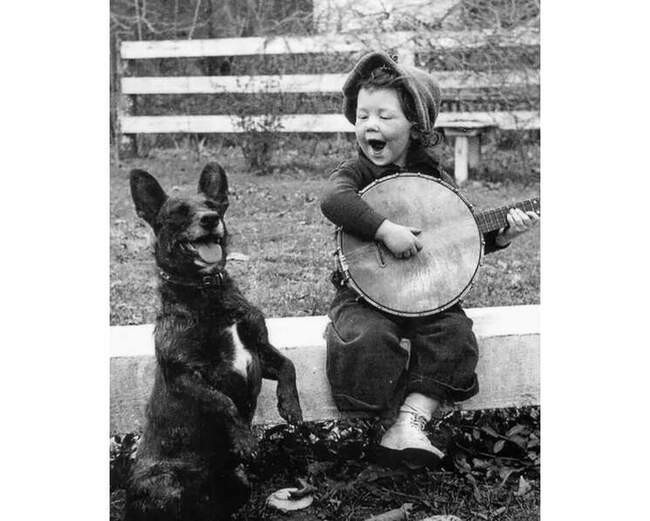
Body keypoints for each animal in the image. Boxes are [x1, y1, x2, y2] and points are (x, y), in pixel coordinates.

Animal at [125, 163, 303, 521]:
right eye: (178, 212)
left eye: (215, 205)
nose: (209, 219)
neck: (207, 292)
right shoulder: (185, 376)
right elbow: (223, 402)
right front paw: (245, 438)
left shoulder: (259, 352)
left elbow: (288, 365)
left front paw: (291, 405)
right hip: (167, 483)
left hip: (238, 482)